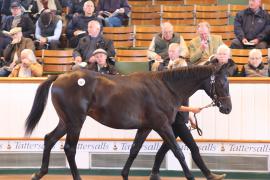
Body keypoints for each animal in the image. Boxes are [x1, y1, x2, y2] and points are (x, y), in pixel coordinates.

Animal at [25, 65, 231, 180]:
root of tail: (59, 76)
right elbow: (178, 152)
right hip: (75, 122)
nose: (227, 108)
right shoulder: (162, 125)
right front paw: (190, 176)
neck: (165, 88)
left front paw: (124, 174)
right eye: (222, 84)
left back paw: (39, 173)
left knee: (49, 139)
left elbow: (134, 150)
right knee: (69, 148)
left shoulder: (146, 127)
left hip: (65, 121)